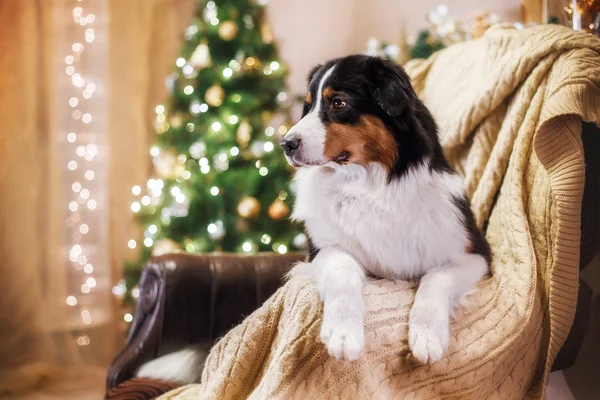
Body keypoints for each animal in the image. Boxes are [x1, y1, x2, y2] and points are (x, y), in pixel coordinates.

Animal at [278, 54, 490, 364]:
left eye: (338, 103)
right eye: (308, 105)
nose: (286, 144)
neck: (370, 186)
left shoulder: (475, 254)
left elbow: (436, 277)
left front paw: (427, 336)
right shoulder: (323, 248)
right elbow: (344, 271)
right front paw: (343, 334)